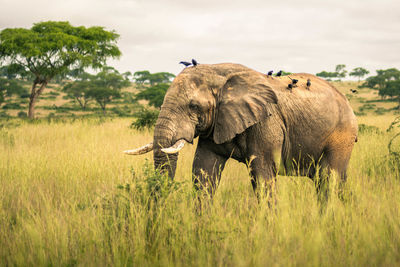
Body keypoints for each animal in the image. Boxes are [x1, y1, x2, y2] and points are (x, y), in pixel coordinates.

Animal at [124, 62, 356, 201]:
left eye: (193, 106)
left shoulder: (266, 121)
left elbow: (263, 174)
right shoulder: (218, 122)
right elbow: (203, 171)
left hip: (342, 135)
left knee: (329, 179)